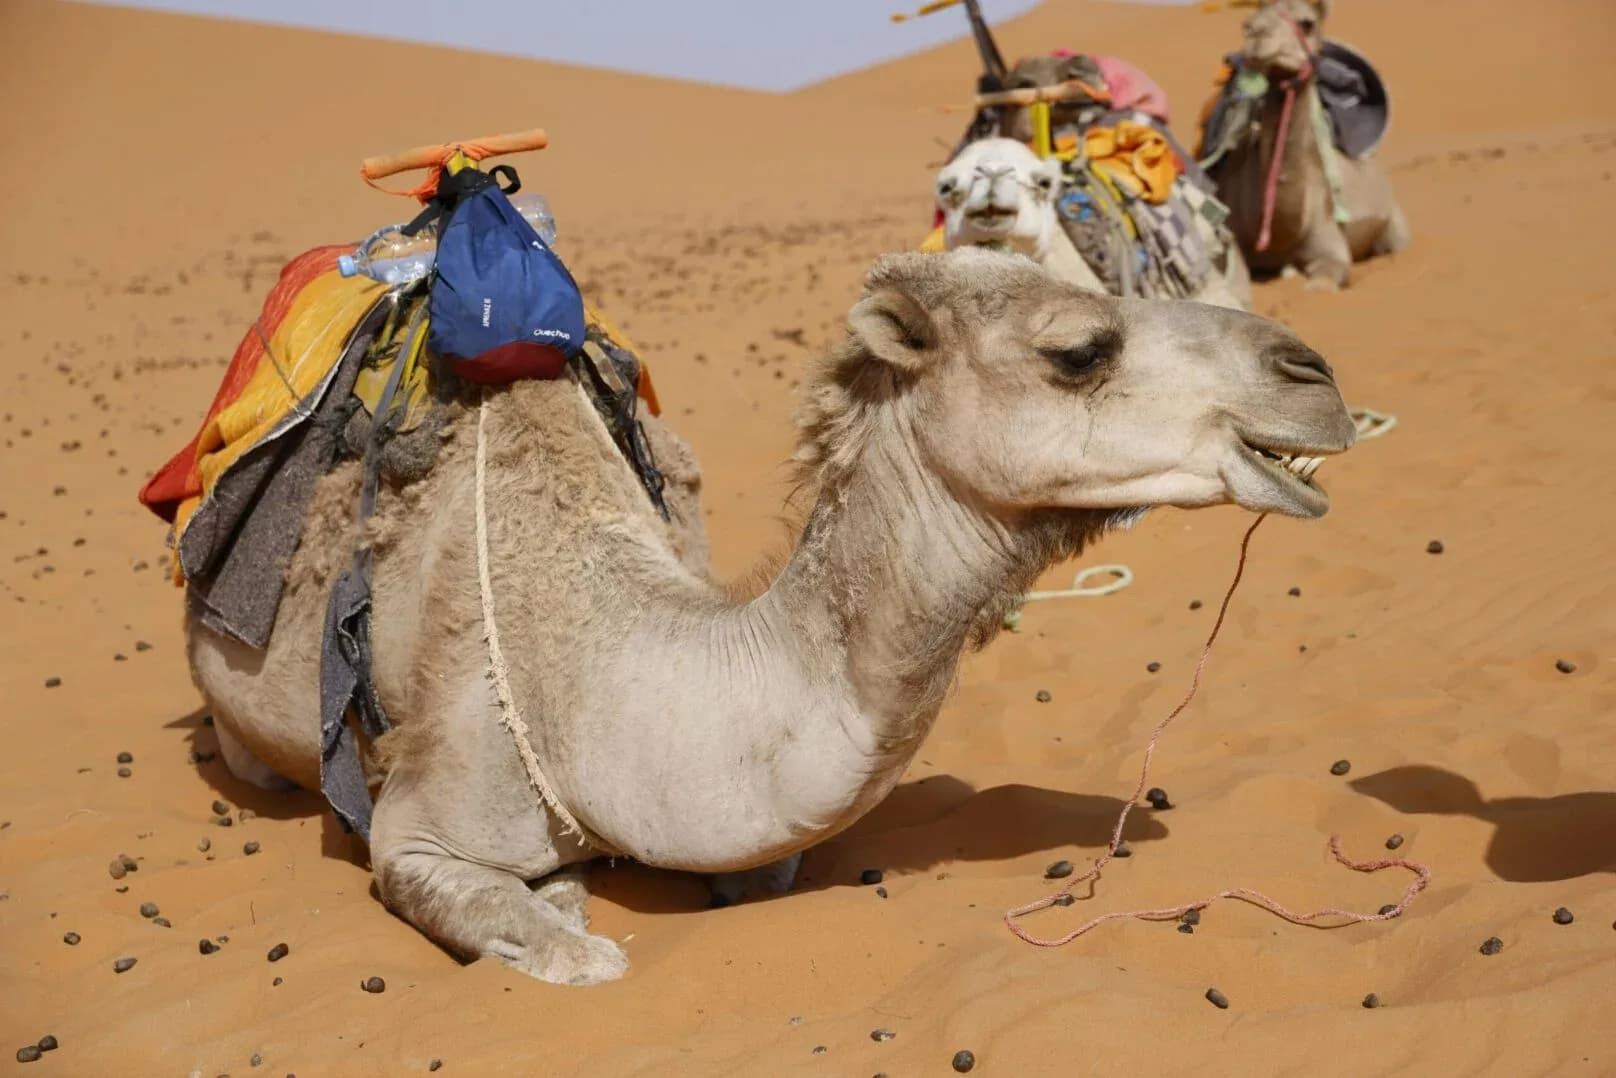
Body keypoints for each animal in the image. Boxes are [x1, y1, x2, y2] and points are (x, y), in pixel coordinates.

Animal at [187, 248, 1355, 985]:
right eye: (1078, 348)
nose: (1314, 374)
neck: (585, 675)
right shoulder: (417, 824)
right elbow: (570, 949)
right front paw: (566, 920)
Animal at [1201, 0, 1409, 289]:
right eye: (1247, 24)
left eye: (1307, 23)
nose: (1257, 35)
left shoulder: (1329, 241)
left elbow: (1323, 281)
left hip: (1394, 219)